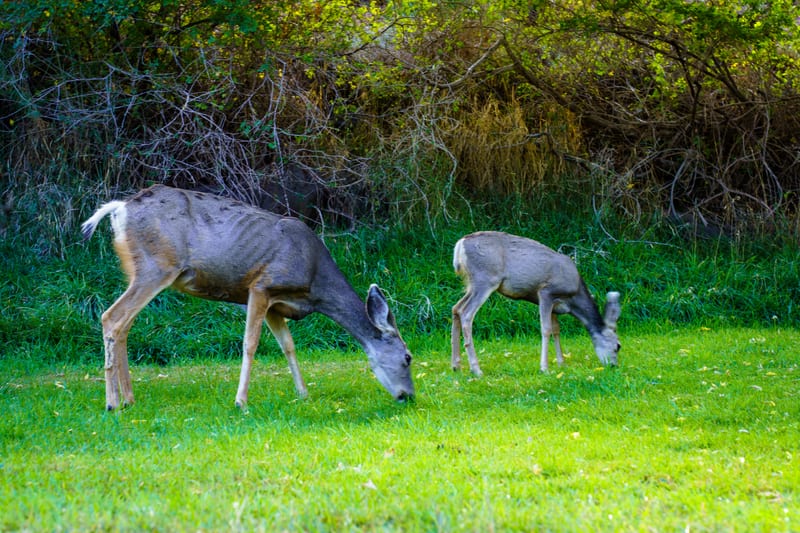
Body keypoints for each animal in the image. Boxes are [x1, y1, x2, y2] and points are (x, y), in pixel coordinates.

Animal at [81, 185, 415, 411]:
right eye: (408, 357)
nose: (409, 396)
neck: (314, 284)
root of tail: (119, 208)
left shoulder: (277, 305)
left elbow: (288, 346)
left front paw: (303, 393)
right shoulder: (261, 285)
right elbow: (250, 343)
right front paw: (241, 401)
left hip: (136, 270)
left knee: (124, 324)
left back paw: (129, 398)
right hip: (157, 266)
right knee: (112, 317)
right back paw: (112, 403)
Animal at [450, 231, 621, 376]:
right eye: (617, 346)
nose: (613, 366)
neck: (574, 298)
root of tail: (460, 245)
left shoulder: (555, 306)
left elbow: (556, 330)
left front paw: (561, 363)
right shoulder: (546, 292)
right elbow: (546, 329)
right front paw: (544, 368)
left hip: (471, 283)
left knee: (456, 308)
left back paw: (456, 365)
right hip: (485, 279)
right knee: (466, 313)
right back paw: (476, 369)